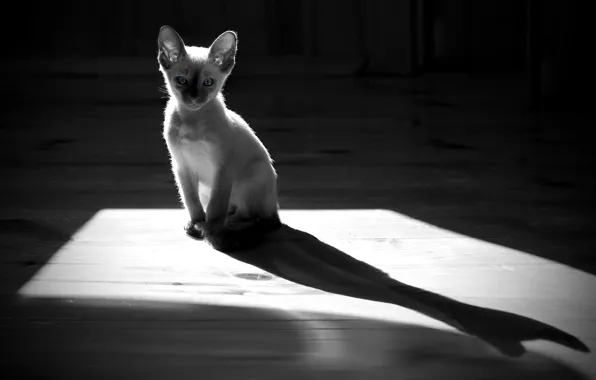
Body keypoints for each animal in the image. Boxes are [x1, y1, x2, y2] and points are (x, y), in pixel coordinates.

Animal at [157, 26, 280, 252]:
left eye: (208, 83)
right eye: (181, 81)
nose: (194, 98)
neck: (192, 118)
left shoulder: (222, 169)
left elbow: (215, 208)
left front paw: (211, 232)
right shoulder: (181, 166)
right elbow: (191, 200)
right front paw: (196, 223)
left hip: (254, 171)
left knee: (260, 218)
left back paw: (230, 227)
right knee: (236, 210)